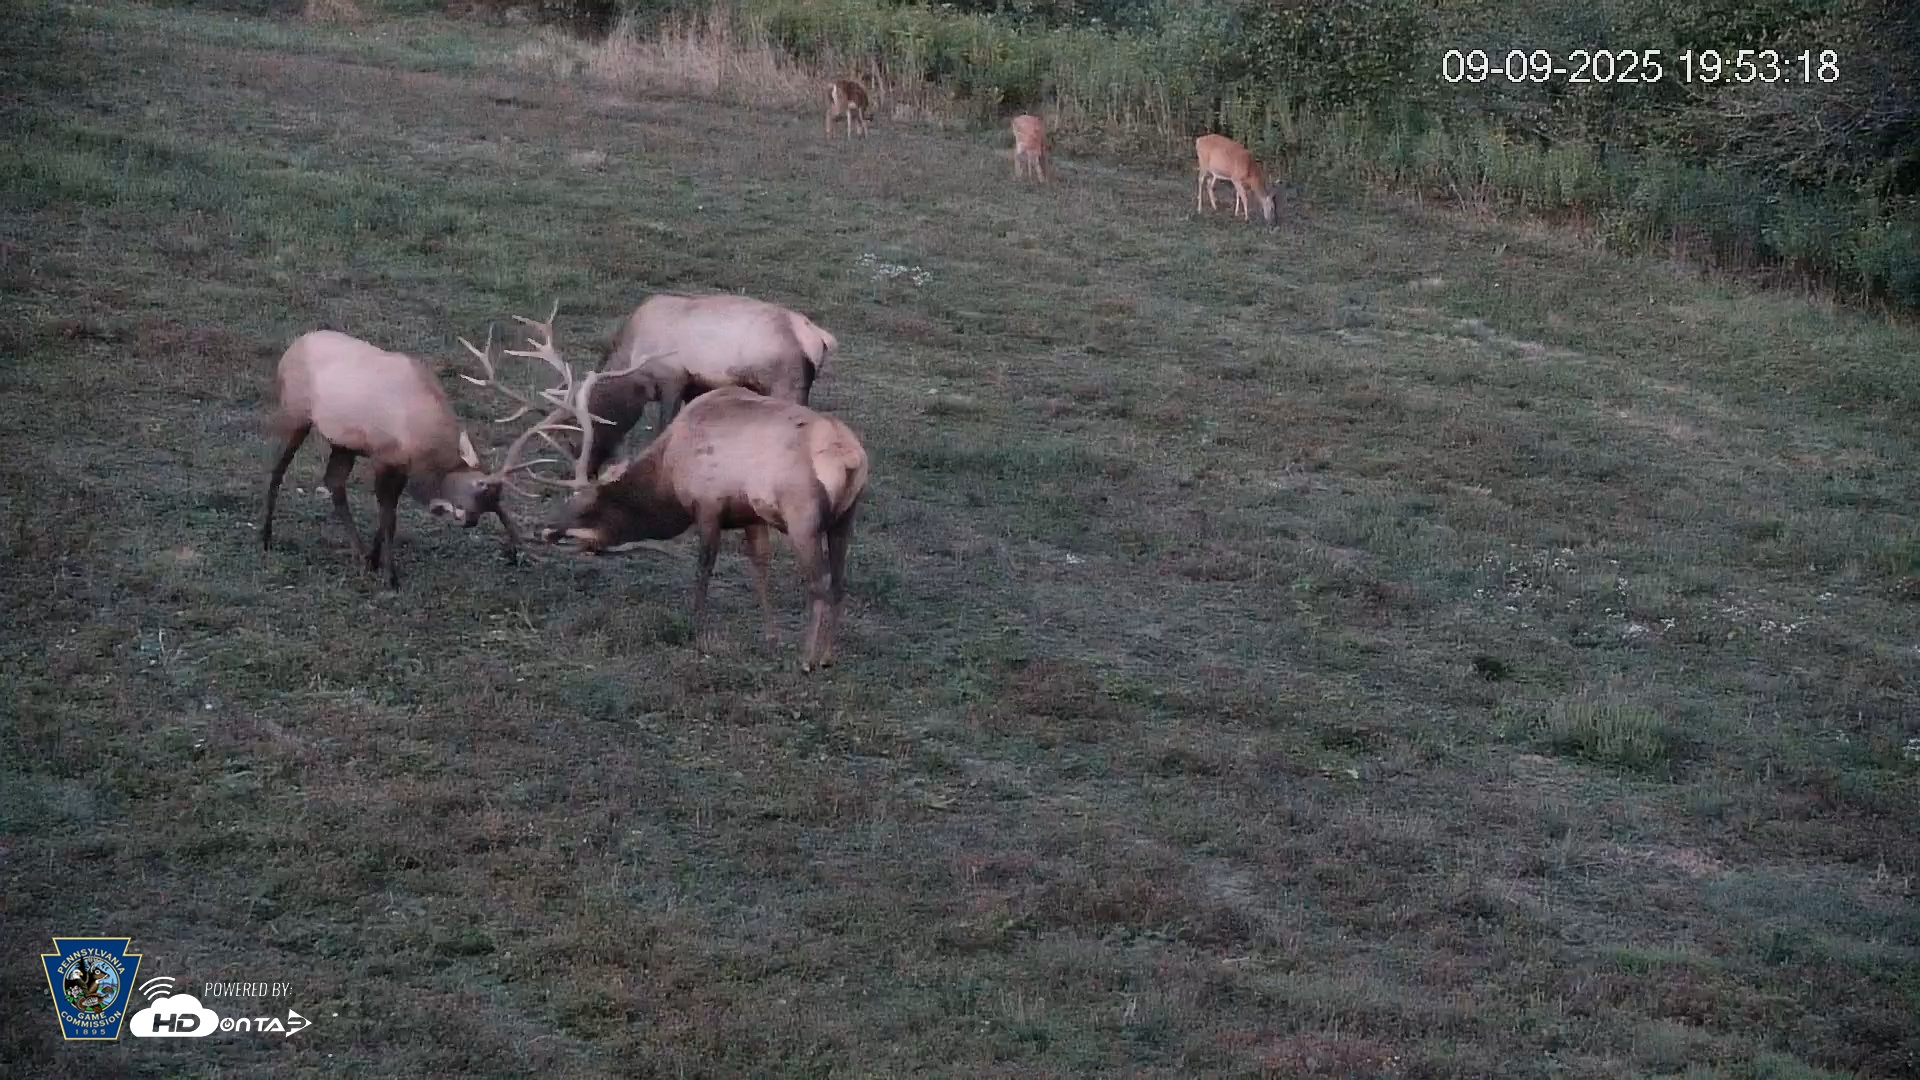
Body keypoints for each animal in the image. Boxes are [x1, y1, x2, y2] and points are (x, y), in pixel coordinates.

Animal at [260, 329, 524, 589]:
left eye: (497, 501)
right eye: (476, 495)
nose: (513, 552)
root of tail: (291, 349)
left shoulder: (400, 466)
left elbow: (387, 512)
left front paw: (374, 560)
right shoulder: (382, 457)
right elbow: (388, 516)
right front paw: (391, 576)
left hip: (343, 444)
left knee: (334, 481)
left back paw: (359, 553)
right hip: (296, 416)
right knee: (278, 469)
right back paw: (266, 537)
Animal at [563, 291, 838, 479]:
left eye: (579, 439)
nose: (586, 472)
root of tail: (821, 338)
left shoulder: (672, 380)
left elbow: (664, 427)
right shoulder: (694, 387)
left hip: (787, 387)